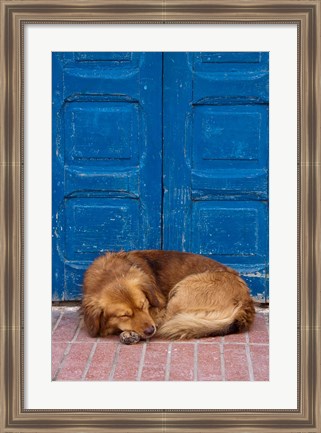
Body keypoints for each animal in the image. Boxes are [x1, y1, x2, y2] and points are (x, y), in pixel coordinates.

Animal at [82, 248, 255, 342]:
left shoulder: (159, 308)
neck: (109, 273)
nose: (150, 331)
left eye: (143, 305)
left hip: (180, 292)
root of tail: (247, 299)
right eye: (124, 315)